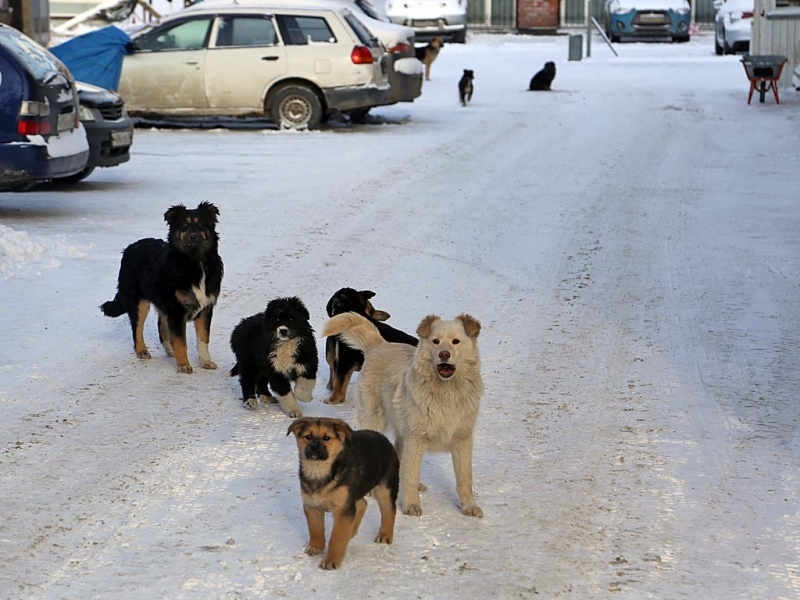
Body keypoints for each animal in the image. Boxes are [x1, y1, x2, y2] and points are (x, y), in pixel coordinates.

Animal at [102, 202, 225, 372]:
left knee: (161, 325)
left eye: (200, 224)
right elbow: (181, 341)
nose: (193, 237)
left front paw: (206, 362)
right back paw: (142, 351)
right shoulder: (176, 310)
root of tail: (130, 247)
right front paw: (184, 365)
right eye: (185, 224)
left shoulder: (205, 308)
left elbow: (203, 339)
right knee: (137, 328)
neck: (195, 261)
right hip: (139, 302)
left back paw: (170, 350)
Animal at [288, 414, 400, 568]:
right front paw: (316, 547)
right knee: (363, 504)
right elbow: (315, 529)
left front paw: (331, 560)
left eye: (327, 438)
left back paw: (385, 535)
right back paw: (352, 530)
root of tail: (383, 438)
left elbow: (337, 537)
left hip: (384, 488)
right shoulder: (312, 506)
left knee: (389, 510)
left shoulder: (343, 509)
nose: (314, 447)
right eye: (308, 437)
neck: (319, 471)